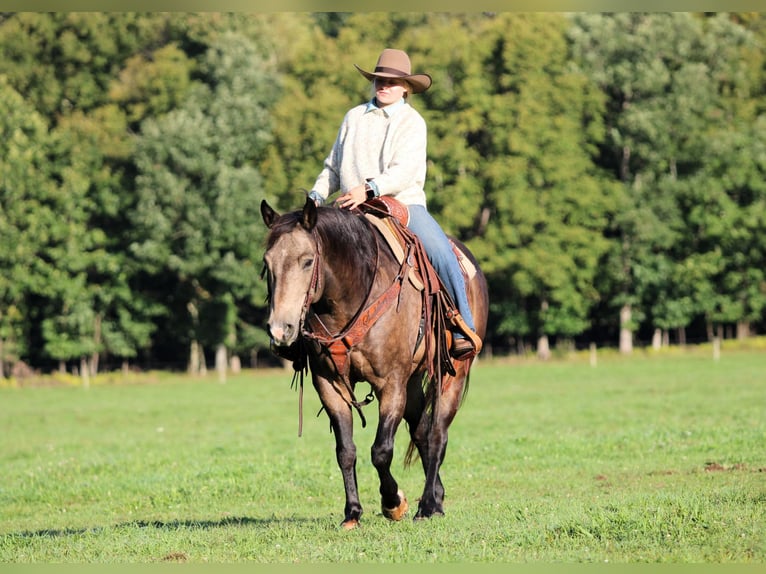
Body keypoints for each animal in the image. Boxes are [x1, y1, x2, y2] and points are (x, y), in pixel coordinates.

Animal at [260, 196, 488, 529]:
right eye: (267, 264)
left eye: (307, 261)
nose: (281, 329)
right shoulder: (329, 385)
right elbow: (345, 450)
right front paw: (352, 512)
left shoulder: (390, 384)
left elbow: (381, 450)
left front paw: (394, 502)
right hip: (412, 383)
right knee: (421, 432)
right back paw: (437, 497)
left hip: (453, 373)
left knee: (437, 434)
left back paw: (427, 505)